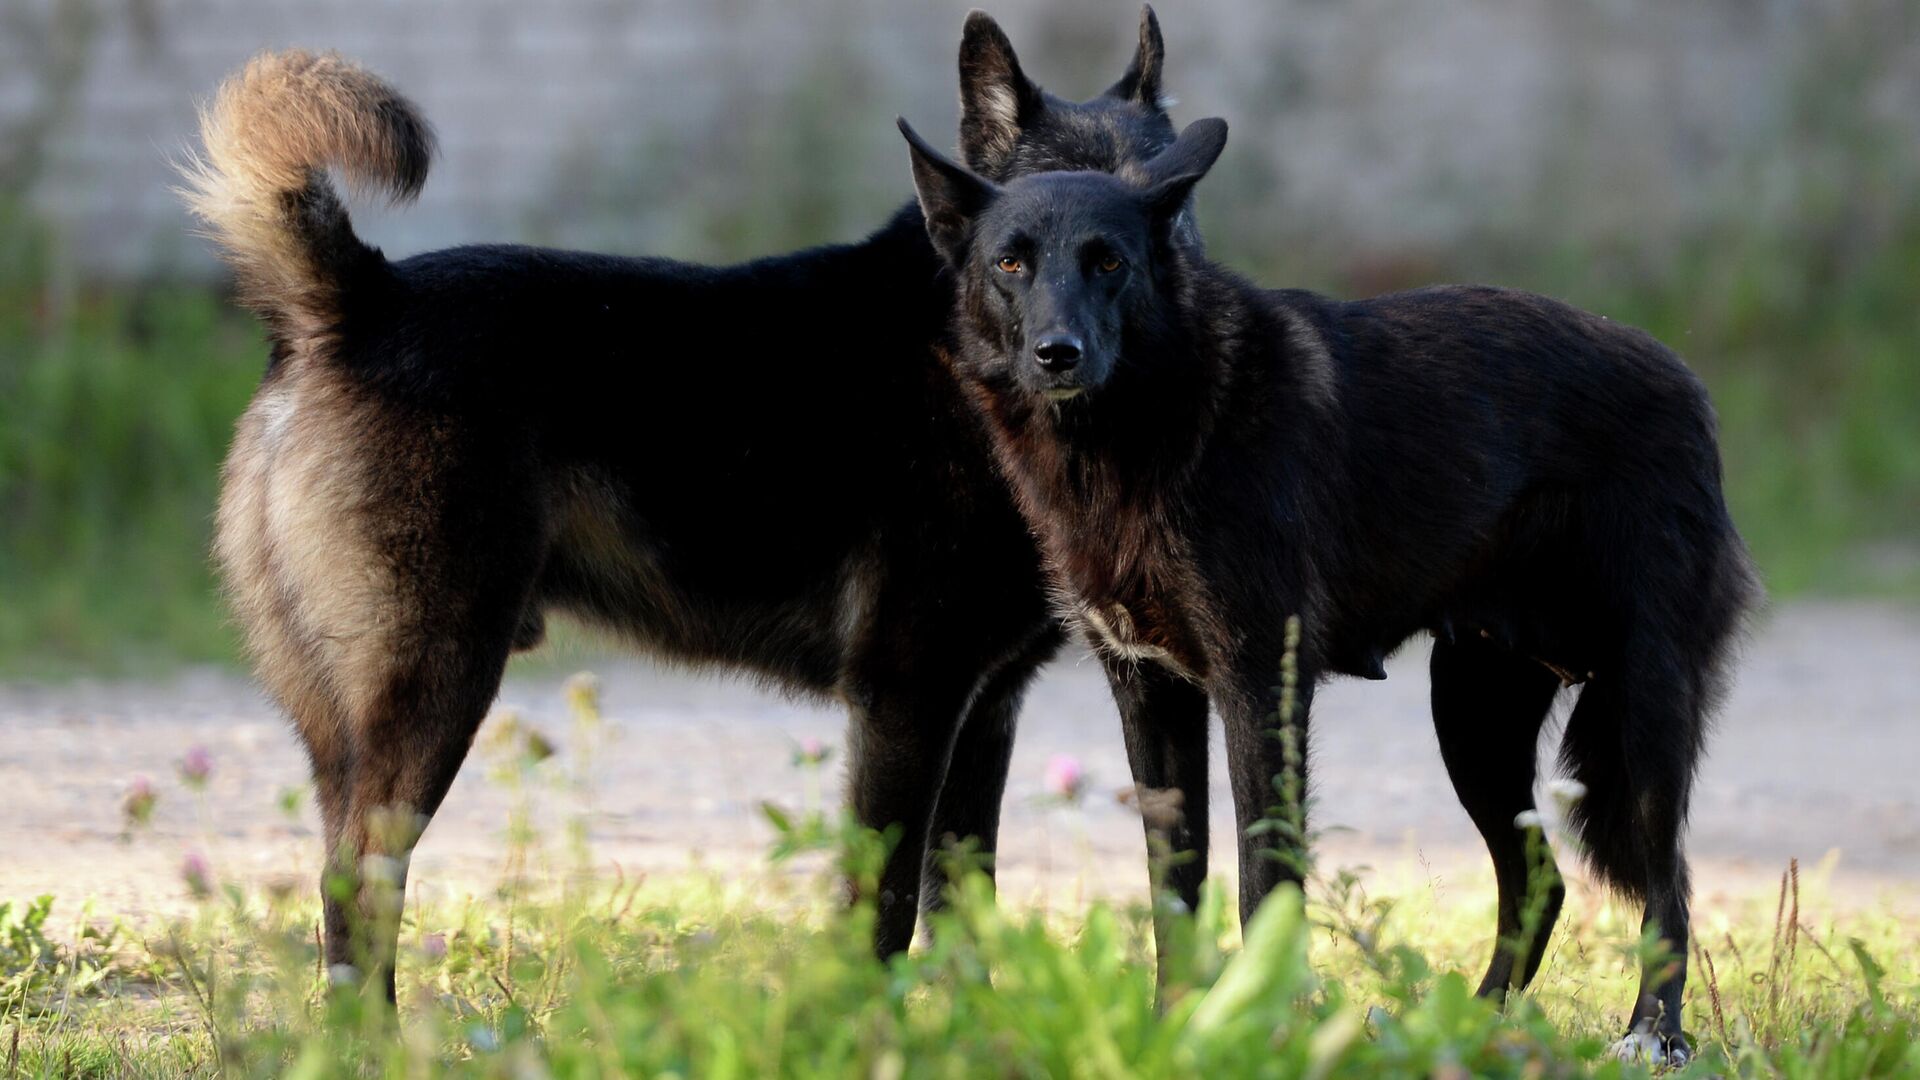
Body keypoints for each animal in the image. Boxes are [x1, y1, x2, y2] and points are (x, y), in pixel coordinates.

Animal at [183, 12, 1198, 999]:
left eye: (1169, 208)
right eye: (1030, 247)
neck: (960, 351)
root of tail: (357, 298)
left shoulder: (984, 711)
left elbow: (963, 916)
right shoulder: (906, 700)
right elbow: (882, 913)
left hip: (348, 732)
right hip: (435, 688)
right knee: (357, 890)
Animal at [906, 115, 1758, 1060]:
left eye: (1109, 262)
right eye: (1011, 262)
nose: (1060, 354)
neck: (1142, 433)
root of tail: (1684, 381)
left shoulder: (1259, 688)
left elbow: (1264, 883)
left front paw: (1265, 1029)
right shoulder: (1152, 692)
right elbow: (1174, 893)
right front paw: (1175, 1029)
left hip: (1641, 709)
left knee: (1669, 887)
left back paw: (1652, 1036)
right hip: (1475, 724)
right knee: (1540, 883)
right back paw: (1472, 1025)